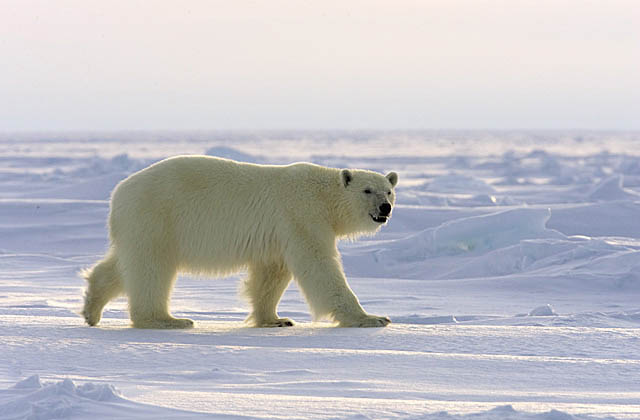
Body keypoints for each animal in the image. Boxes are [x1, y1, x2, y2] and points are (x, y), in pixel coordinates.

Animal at [82, 154, 398, 328]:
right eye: (367, 190)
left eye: (389, 190)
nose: (385, 208)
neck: (323, 195)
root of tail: (118, 193)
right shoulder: (301, 214)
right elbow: (320, 266)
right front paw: (372, 318)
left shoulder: (278, 234)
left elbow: (271, 274)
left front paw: (275, 319)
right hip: (157, 217)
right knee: (151, 269)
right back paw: (168, 320)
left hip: (140, 225)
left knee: (123, 266)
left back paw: (92, 309)